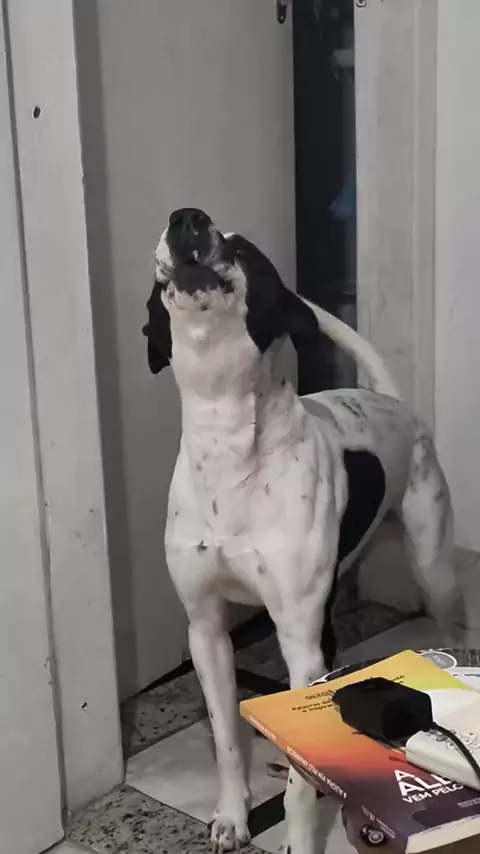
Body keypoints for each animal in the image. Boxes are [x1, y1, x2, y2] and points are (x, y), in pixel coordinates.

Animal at [143, 208, 459, 854]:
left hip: (433, 567)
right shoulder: (206, 632)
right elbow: (227, 741)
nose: (187, 217)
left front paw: (299, 835)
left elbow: (298, 784)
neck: (229, 443)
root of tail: (390, 399)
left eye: (245, 249)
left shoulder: (298, 644)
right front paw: (233, 816)